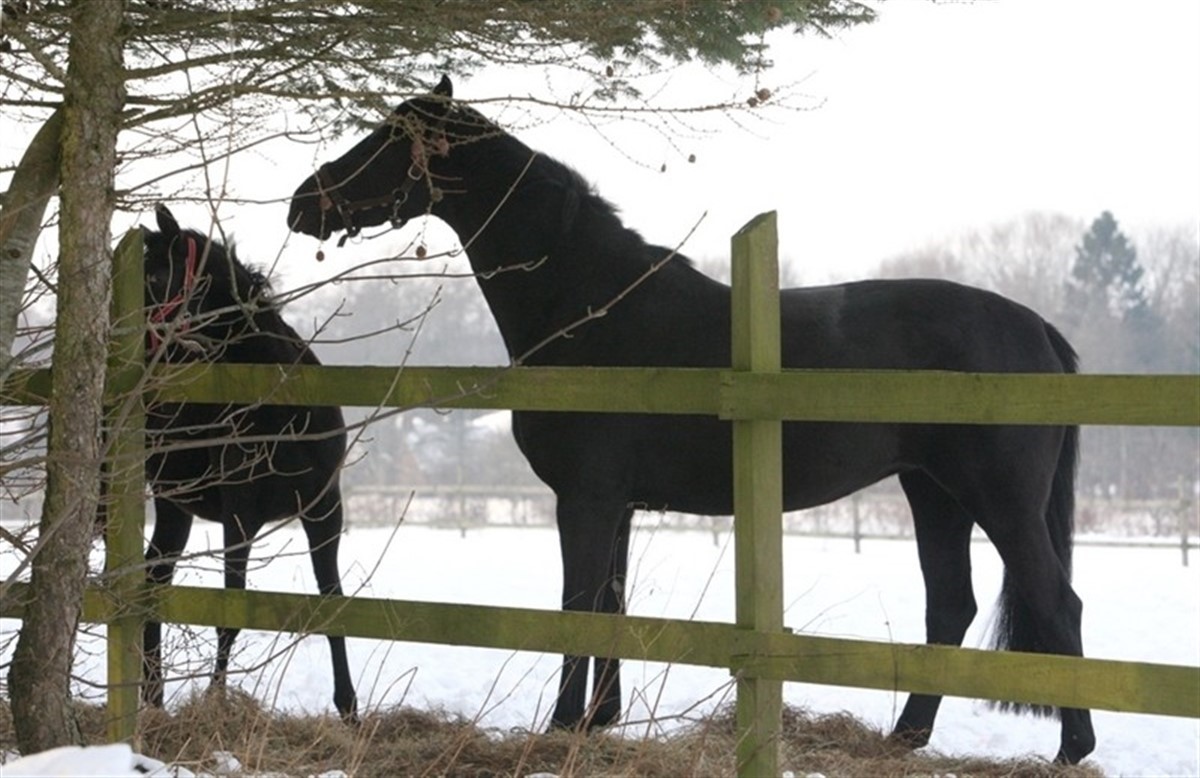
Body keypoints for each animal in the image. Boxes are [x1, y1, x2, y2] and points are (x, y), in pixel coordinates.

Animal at [139, 206, 355, 725]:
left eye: (155, 275)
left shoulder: (325, 511)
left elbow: (332, 604)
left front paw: (349, 710)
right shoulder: (242, 513)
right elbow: (230, 612)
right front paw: (216, 703)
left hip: (176, 508)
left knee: (154, 578)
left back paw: (153, 698)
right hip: (173, 503)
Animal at [285, 80, 1094, 763]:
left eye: (389, 141)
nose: (302, 202)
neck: (592, 306)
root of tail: (1038, 331)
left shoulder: (585, 499)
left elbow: (577, 607)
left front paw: (561, 727)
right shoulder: (616, 506)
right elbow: (608, 606)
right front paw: (597, 722)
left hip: (998, 500)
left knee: (1056, 602)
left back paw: (1069, 749)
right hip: (934, 494)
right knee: (950, 606)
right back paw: (904, 739)